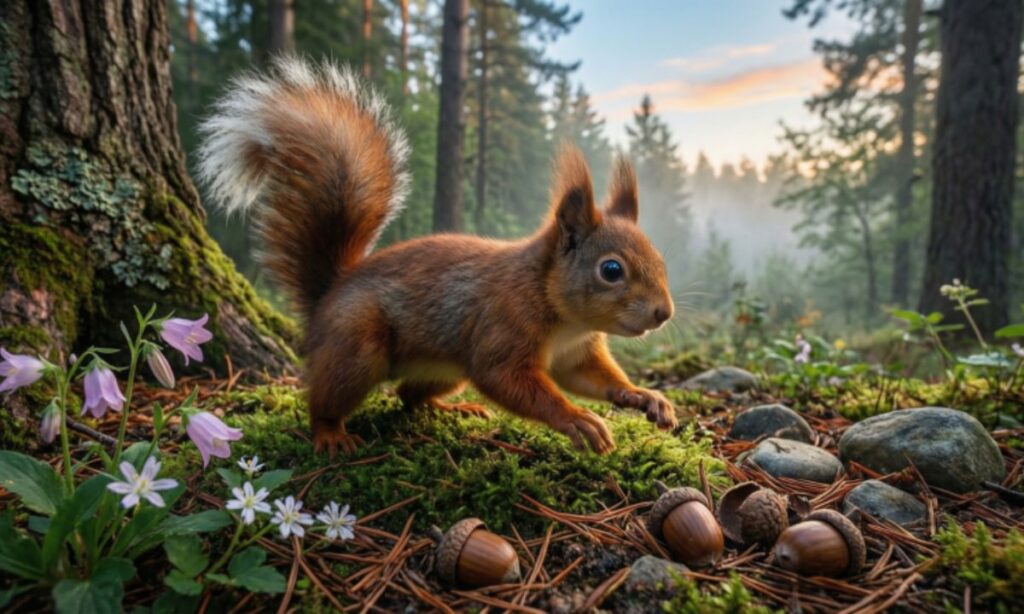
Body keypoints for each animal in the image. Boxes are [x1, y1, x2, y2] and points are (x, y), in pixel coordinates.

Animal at [199, 58, 677, 457]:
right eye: (611, 269)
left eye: (660, 257)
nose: (664, 313)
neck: (561, 311)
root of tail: (327, 295)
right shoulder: (501, 328)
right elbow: (509, 380)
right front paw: (576, 419)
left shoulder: (576, 352)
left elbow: (589, 377)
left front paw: (643, 396)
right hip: (357, 346)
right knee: (325, 397)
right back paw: (330, 433)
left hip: (445, 369)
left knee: (409, 397)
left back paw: (453, 410)